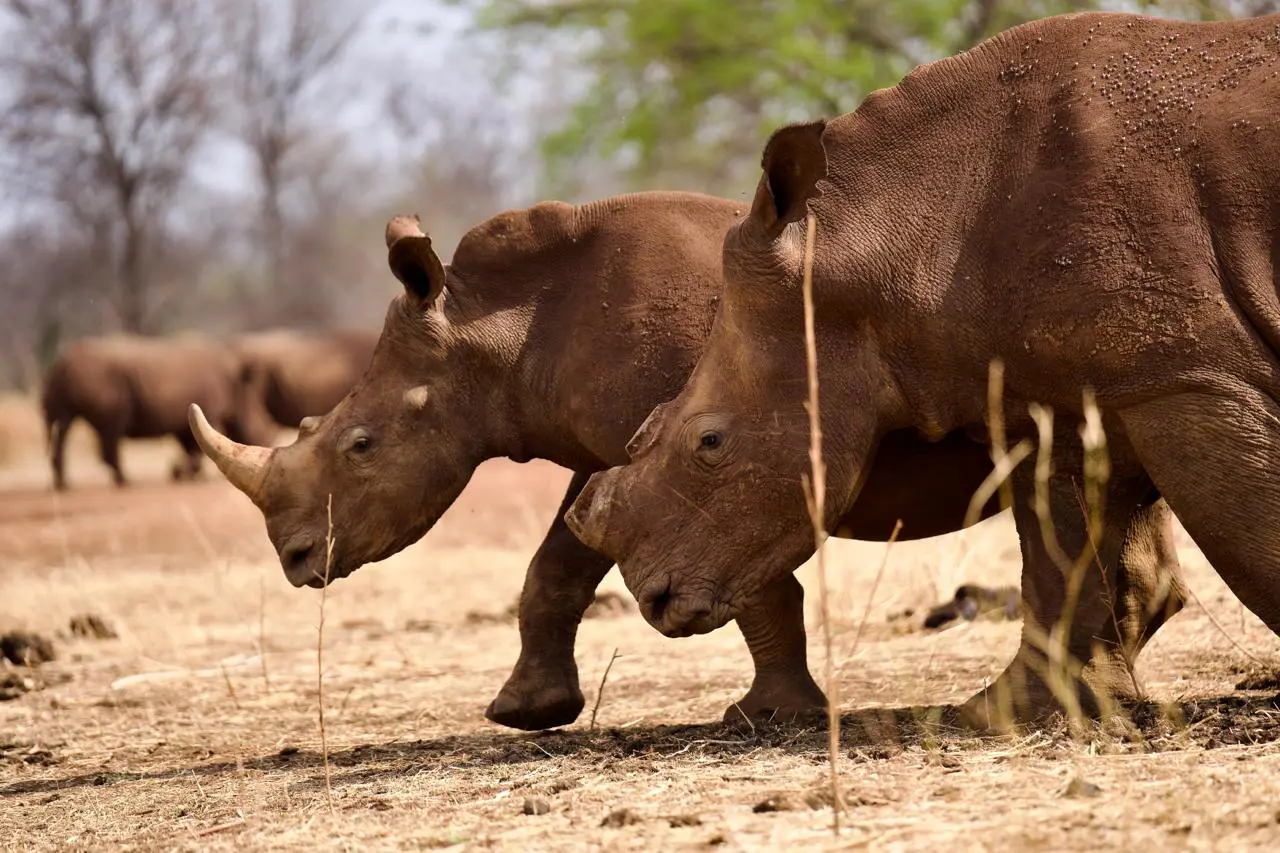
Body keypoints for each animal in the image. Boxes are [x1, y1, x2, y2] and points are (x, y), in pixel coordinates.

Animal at [41, 335, 271, 490]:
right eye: (258, 424)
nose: (266, 440)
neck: (238, 388)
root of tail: (61, 364)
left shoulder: (184, 420)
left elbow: (191, 446)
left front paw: (184, 475)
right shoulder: (211, 410)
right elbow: (198, 447)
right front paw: (181, 474)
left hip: (64, 383)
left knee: (61, 427)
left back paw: (64, 485)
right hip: (101, 379)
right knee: (110, 430)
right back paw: (125, 480)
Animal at [189, 191, 1185, 731]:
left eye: (359, 445)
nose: (295, 560)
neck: (493, 334)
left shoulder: (721, 458)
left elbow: (754, 581)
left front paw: (766, 717)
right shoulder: (619, 456)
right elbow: (555, 567)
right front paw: (526, 713)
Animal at [566, 11, 1280, 727]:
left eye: (709, 442)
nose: (655, 599)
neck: (903, 234)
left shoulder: (1185, 380)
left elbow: (1250, 536)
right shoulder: (1085, 393)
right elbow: (1074, 557)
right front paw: (1002, 715)